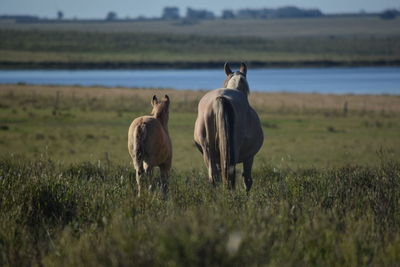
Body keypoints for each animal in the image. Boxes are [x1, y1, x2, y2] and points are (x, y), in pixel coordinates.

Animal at [193, 62, 262, 193]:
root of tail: (220, 98)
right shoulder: (249, 157)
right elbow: (247, 180)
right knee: (230, 175)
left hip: (208, 151)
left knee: (215, 176)